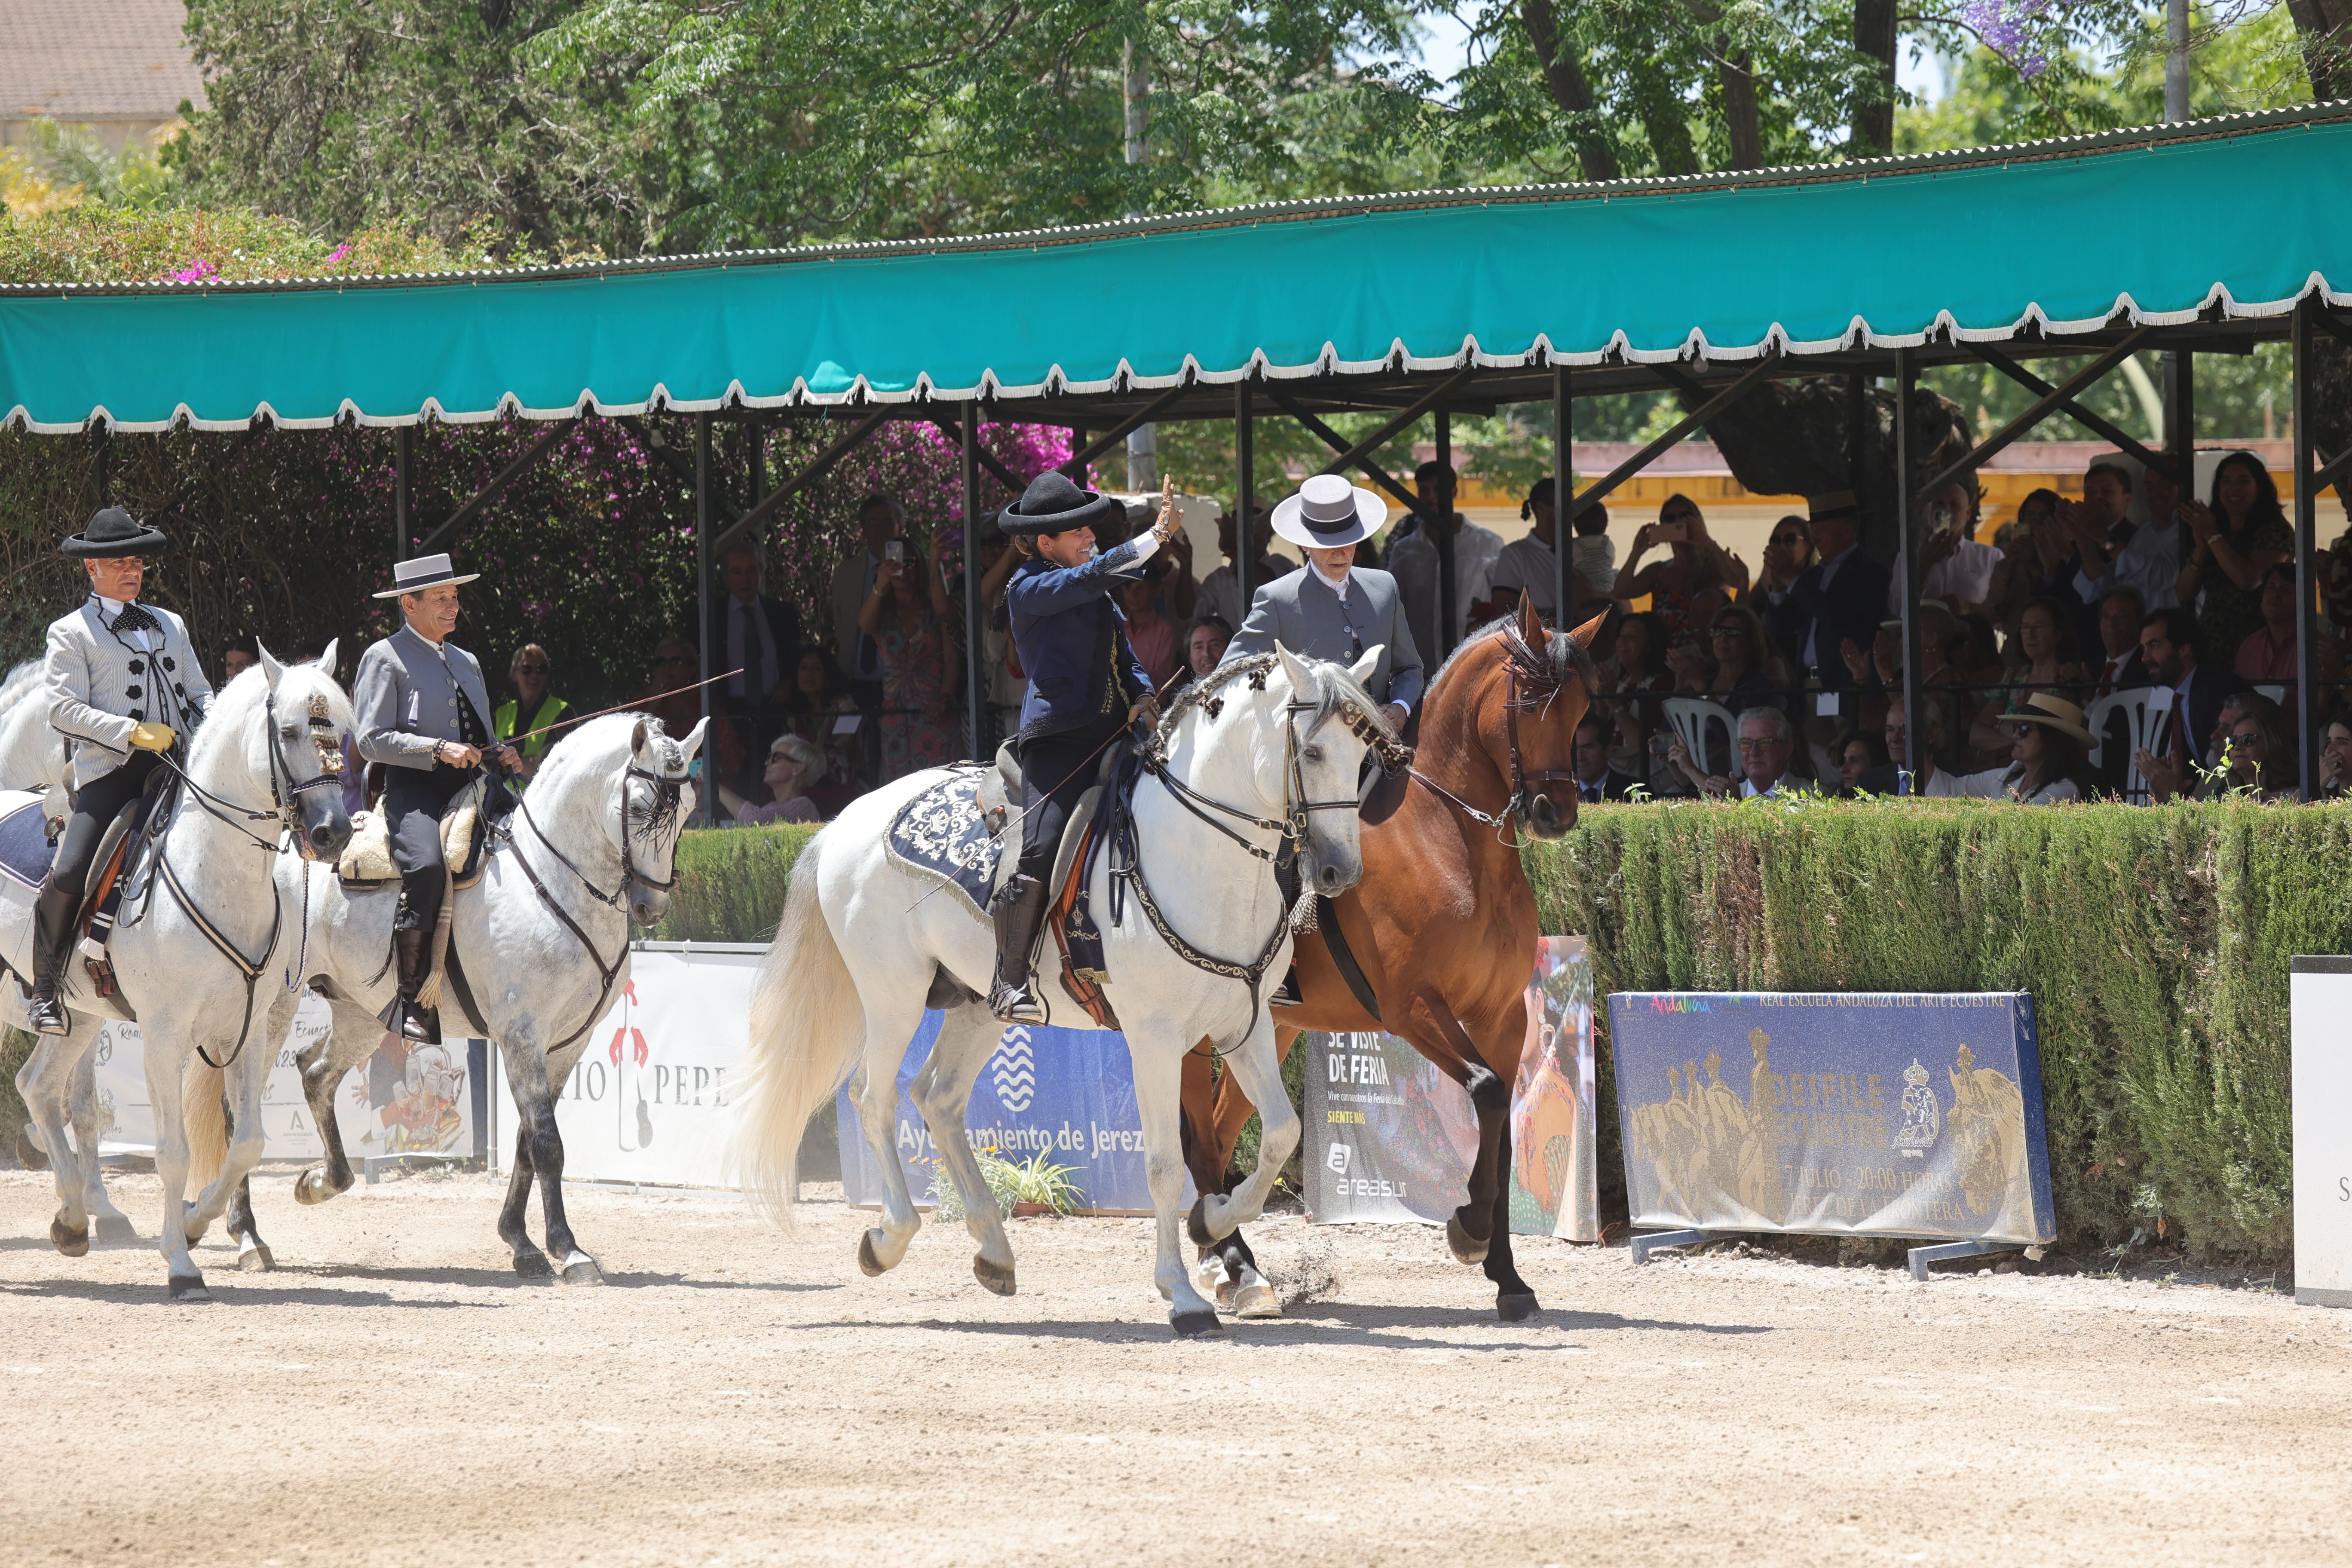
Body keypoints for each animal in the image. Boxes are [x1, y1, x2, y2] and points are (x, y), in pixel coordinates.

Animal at [6, 645, 354, 1298]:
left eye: (341, 732)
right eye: (290, 731)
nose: (333, 832)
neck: (214, 869)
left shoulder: (245, 1031)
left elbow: (247, 1143)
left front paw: (196, 1226)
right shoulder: (165, 1036)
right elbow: (173, 1151)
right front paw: (181, 1265)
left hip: (78, 1017)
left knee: (37, 1086)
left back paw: (73, 1221)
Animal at [184, 711, 706, 1285]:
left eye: (688, 808)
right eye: (638, 808)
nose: (652, 906)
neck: (551, 882)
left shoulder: (568, 1044)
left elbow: (527, 1142)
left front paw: (521, 1242)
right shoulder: (521, 1035)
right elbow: (546, 1144)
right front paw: (568, 1250)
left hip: (364, 1014)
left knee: (316, 1073)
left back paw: (321, 1183)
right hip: (273, 1009)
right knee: (240, 1107)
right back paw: (247, 1236)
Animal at [732, 645, 1391, 1337]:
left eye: (1362, 755)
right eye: (1312, 753)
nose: (1340, 872)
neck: (1201, 859)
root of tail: (842, 822)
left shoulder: (1248, 1025)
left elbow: (1282, 1134)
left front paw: (1212, 1220)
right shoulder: (1156, 1039)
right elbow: (1163, 1164)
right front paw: (1183, 1295)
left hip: (981, 1004)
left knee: (937, 1097)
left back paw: (994, 1251)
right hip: (893, 997)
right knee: (874, 1098)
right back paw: (889, 1240)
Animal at [1180, 598, 1601, 1322]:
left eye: (1580, 708)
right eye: (1528, 701)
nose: (1555, 814)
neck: (1450, 841)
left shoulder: (1501, 1018)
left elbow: (1503, 1129)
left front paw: (1509, 1278)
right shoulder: (1410, 1008)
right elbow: (1486, 1093)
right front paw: (1467, 1230)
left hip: (1270, 1027)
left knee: (1223, 1127)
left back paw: (1237, 1264)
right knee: (1197, 1133)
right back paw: (1226, 1260)